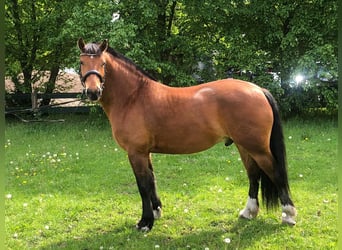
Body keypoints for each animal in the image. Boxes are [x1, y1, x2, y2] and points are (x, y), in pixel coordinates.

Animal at [77, 38, 296, 231]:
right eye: (81, 62)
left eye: (103, 63)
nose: (93, 92)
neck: (133, 97)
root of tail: (258, 89)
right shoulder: (145, 152)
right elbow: (152, 180)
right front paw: (156, 212)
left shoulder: (135, 152)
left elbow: (142, 185)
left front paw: (145, 222)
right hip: (244, 146)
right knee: (253, 175)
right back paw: (248, 212)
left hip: (257, 148)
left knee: (275, 172)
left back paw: (288, 215)